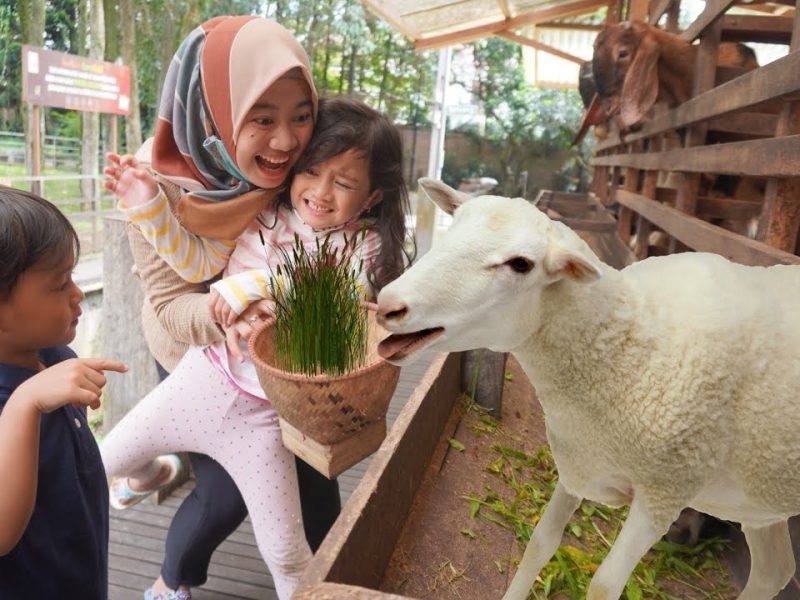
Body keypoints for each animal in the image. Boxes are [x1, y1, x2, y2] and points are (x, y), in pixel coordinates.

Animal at [376, 180, 800, 600]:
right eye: (452, 228)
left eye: (521, 264)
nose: (387, 305)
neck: (628, 351)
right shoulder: (581, 458)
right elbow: (539, 544)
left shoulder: (662, 494)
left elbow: (603, 586)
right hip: (757, 504)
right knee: (774, 572)